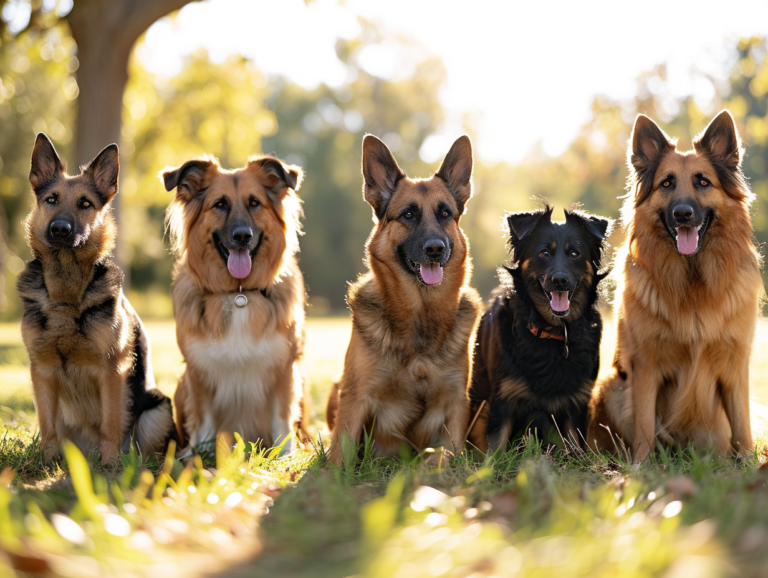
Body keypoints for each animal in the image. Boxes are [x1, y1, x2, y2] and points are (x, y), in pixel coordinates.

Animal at [18, 133, 177, 462]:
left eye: (85, 204)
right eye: (51, 199)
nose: (60, 229)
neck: (66, 293)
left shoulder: (112, 369)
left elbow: (110, 422)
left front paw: (111, 462)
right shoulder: (41, 370)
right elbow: (47, 424)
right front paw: (46, 462)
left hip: (156, 409)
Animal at [164, 153, 308, 454]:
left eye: (255, 203)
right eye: (220, 204)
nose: (243, 236)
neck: (238, 293)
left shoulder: (286, 368)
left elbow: (282, 417)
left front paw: (285, 454)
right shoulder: (197, 371)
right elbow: (204, 417)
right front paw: (202, 452)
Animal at [326, 134, 484, 464]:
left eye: (445, 214)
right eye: (408, 215)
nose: (435, 249)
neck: (420, 315)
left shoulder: (456, 403)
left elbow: (447, 455)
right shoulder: (356, 398)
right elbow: (339, 455)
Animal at [468, 202, 612, 450]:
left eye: (575, 253)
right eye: (544, 253)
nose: (560, 280)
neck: (552, 331)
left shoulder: (577, 403)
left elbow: (576, 448)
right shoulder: (503, 397)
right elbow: (496, 447)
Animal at [588, 109, 760, 460]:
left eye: (703, 181)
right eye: (666, 183)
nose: (683, 214)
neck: (693, 280)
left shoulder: (736, 364)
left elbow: (743, 428)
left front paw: (749, 464)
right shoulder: (645, 365)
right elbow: (643, 426)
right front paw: (640, 466)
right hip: (613, 383)